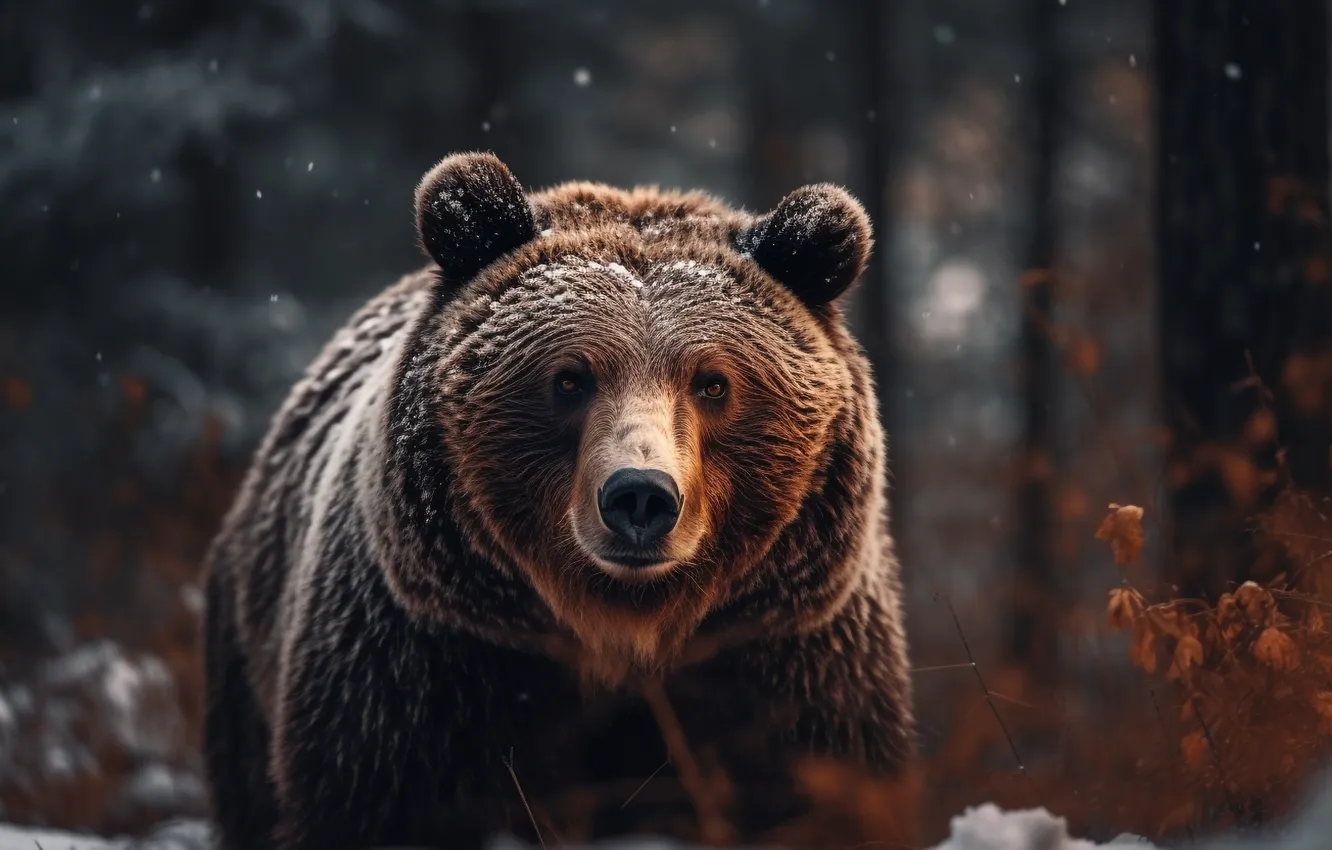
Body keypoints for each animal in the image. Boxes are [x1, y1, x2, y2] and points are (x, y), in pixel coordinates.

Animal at [201, 151, 914, 850]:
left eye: (713, 383)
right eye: (570, 378)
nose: (640, 496)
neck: (616, 632)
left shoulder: (788, 660)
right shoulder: (422, 668)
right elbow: (384, 798)